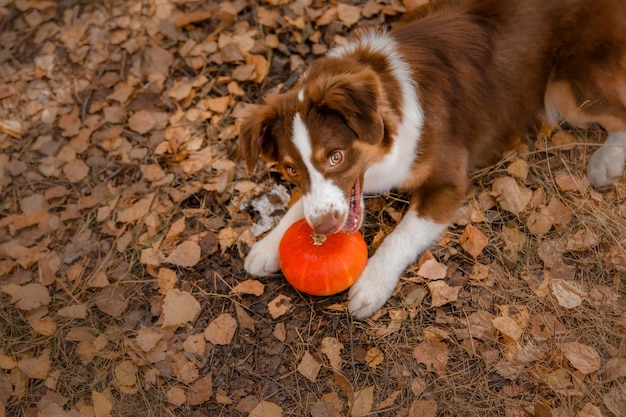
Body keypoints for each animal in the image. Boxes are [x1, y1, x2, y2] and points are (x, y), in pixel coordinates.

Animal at [238, 0, 624, 316]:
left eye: (335, 156)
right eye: (291, 169)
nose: (323, 230)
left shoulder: (448, 183)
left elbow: (401, 235)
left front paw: (371, 284)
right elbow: (302, 203)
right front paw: (270, 244)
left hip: (566, 92)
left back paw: (605, 162)